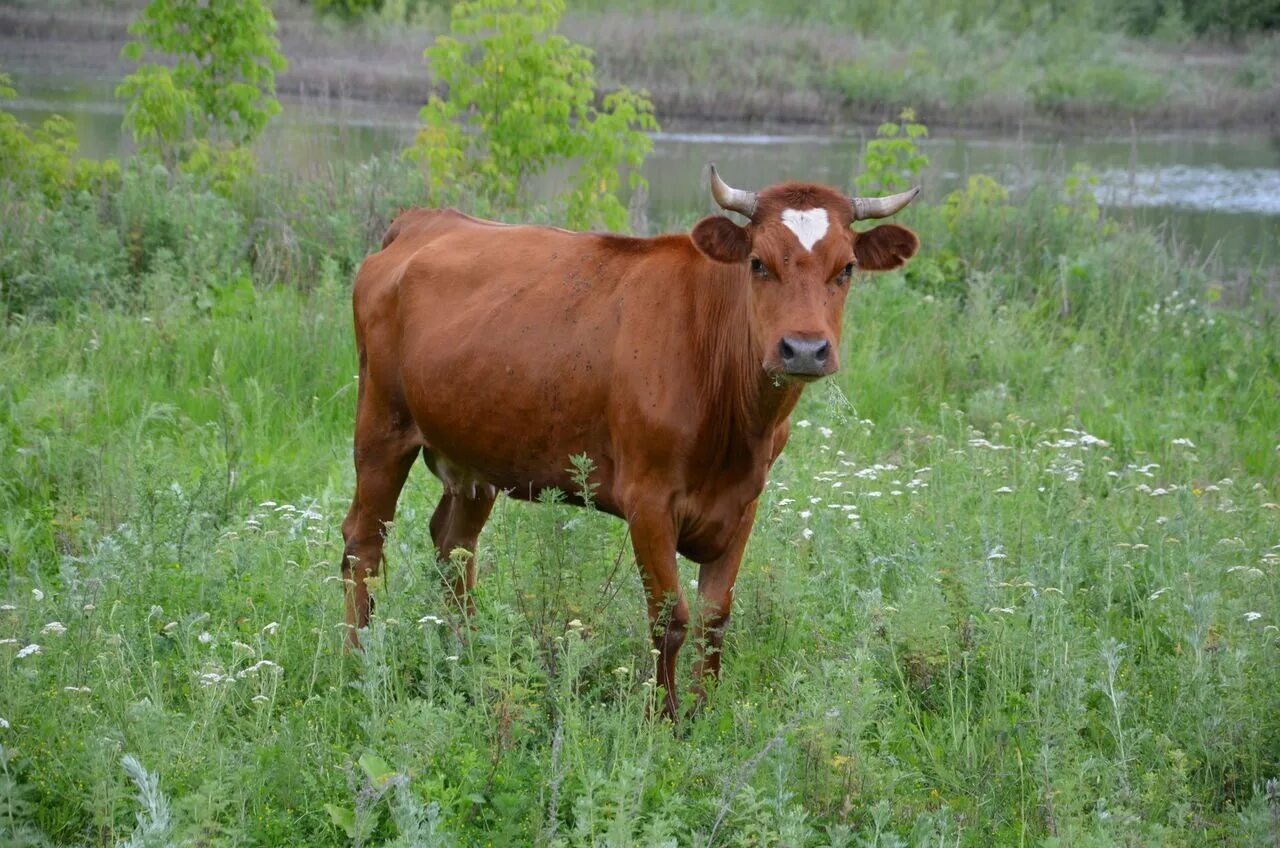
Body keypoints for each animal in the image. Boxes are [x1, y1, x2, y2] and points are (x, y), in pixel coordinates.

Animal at [340, 169, 921, 722]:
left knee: (454, 547)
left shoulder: (744, 500)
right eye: (757, 263)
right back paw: (357, 663)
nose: (803, 349)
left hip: (476, 451)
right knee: (362, 545)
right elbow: (670, 616)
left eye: (846, 268)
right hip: (381, 426)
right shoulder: (648, 498)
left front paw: (704, 712)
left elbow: (715, 616)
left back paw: (466, 655)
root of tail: (424, 220)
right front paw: (662, 719)